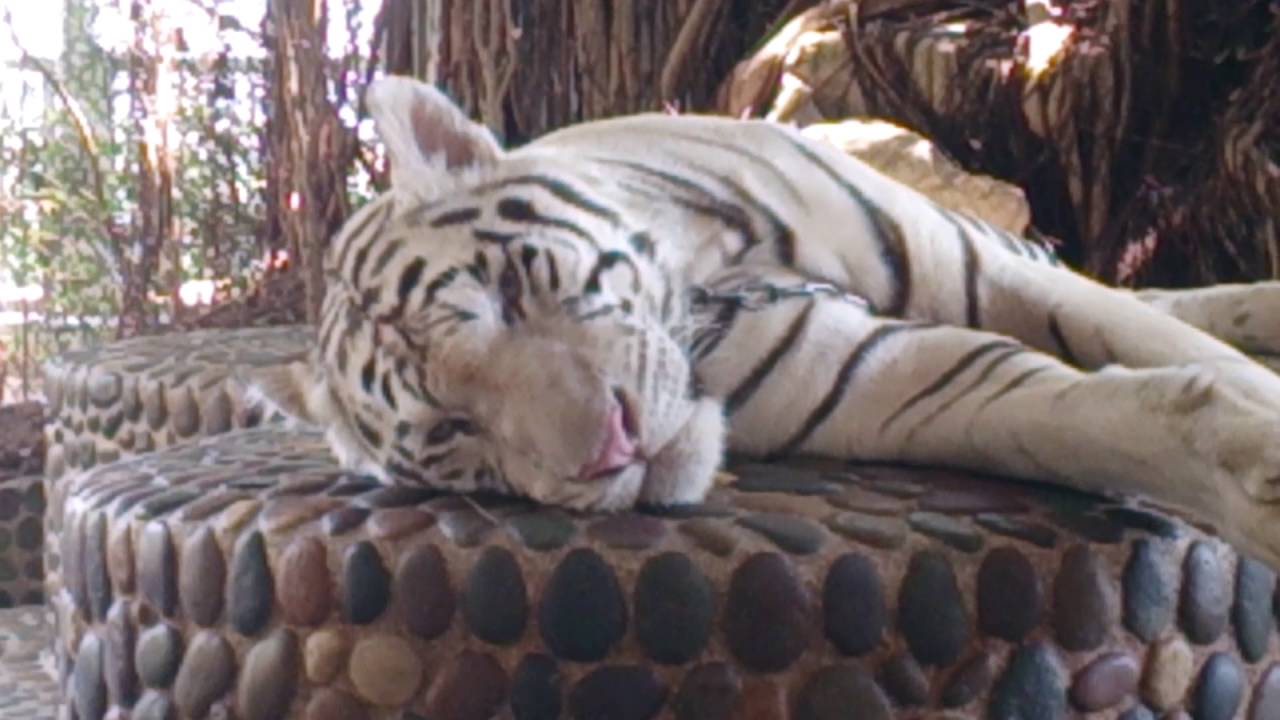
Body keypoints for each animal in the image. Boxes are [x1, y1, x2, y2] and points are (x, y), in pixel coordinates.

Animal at [253, 75, 1280, 567]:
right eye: (455, 431)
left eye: (508, 291)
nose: (612, 449)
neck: (709, 287)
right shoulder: (887, 377)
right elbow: (1081, 414)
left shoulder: (974, 265)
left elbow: (1164, 348)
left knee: (1147, 299)